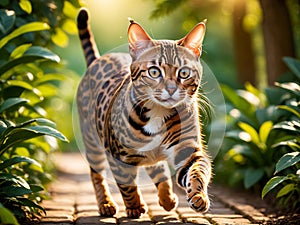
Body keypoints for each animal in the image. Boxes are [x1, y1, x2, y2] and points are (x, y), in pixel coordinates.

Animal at [77, 8, 212, 218]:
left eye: (184, 73)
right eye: (154, 72)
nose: (171, 89)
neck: (158, 113)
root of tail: (98, 59)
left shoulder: (187, 148)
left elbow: (198, 171)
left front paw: (199, 196)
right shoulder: (117, 155)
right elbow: (126, 184)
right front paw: (134, 206)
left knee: (158, 168)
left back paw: (168, 199)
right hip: (92, 143)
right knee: (96, 173)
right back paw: (106, 203)